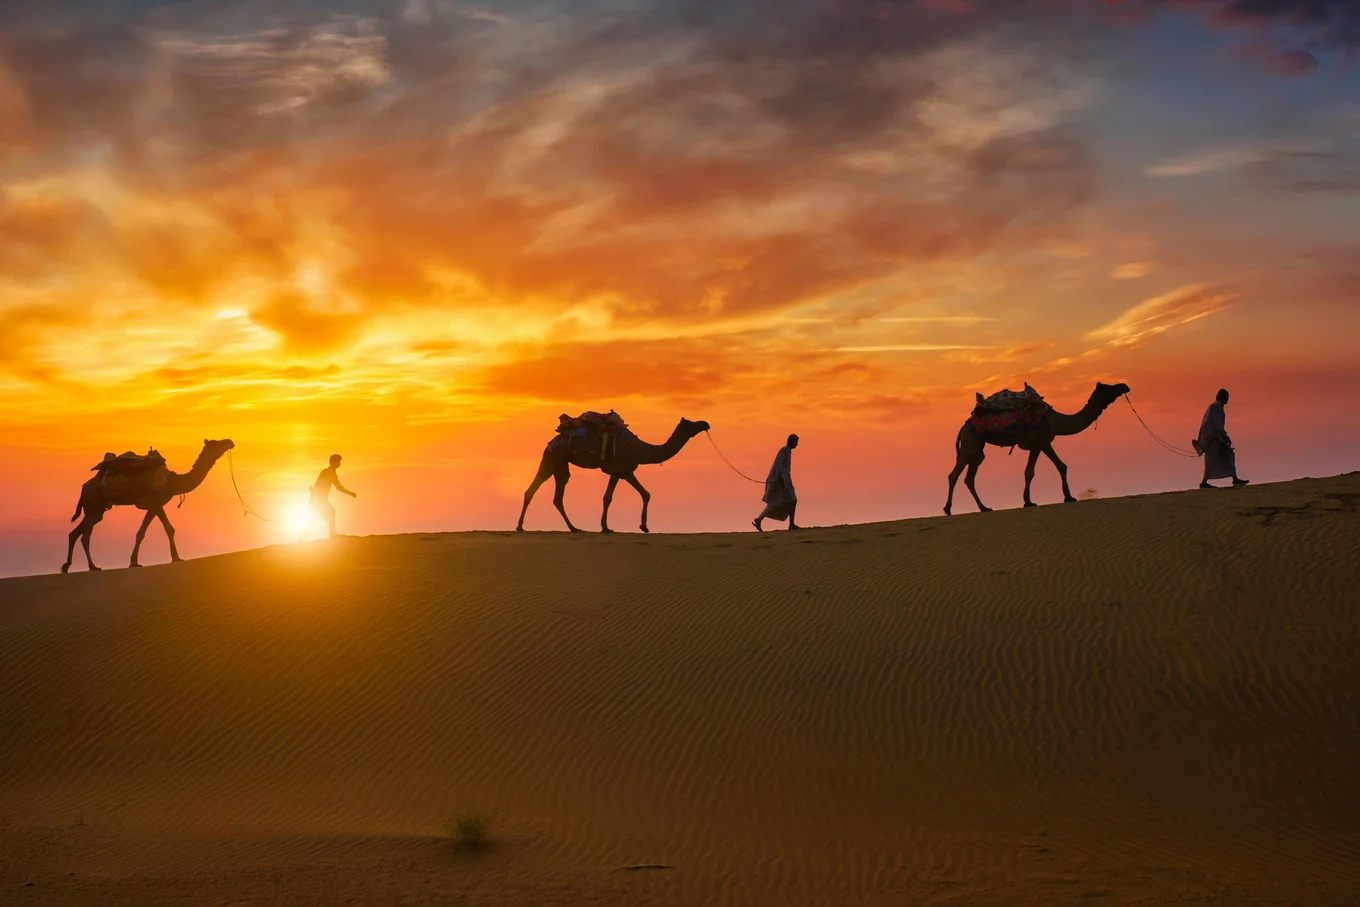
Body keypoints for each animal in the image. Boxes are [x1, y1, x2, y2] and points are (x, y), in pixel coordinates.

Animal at [62, 440, 236, 573]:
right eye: (215, 442)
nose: (229, 441)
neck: (172, 482)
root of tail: (85, 486)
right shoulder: (153, 502)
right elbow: (148, 532)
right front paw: (135, 562)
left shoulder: (157, 504)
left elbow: (164, 529)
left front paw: (175, 558)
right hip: (93, 503)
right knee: (85, 536)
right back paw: (93, 567)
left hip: (96, 510)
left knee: (74, 533)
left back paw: (66, 567)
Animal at [514, 416, 712, 533]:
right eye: (691, 423)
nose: (705, 423)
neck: (641, 450)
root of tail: (551, 442)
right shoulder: (618, 470)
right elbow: (607, 497)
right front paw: (605, 527)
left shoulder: (626, 471)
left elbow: (646, 493)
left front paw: (644, 526)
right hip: (551, 458)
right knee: (532, 489)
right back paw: (520, 526)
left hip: (561, 465)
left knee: (557, 497)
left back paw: (574, 528)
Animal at [946, 380, 1126, 514]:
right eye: (1108, 387)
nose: (1125, 386)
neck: (1055, 421)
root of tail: (964, 426)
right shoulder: (1040, 442)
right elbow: (1030, 472)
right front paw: (1029, 502)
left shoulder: (1044, 443)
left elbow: (1061, 466)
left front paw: (1068, 497)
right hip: (970, 442)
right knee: (954, 474)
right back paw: (948, 509)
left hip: (976, 447)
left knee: (969, 477)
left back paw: (984, 508)